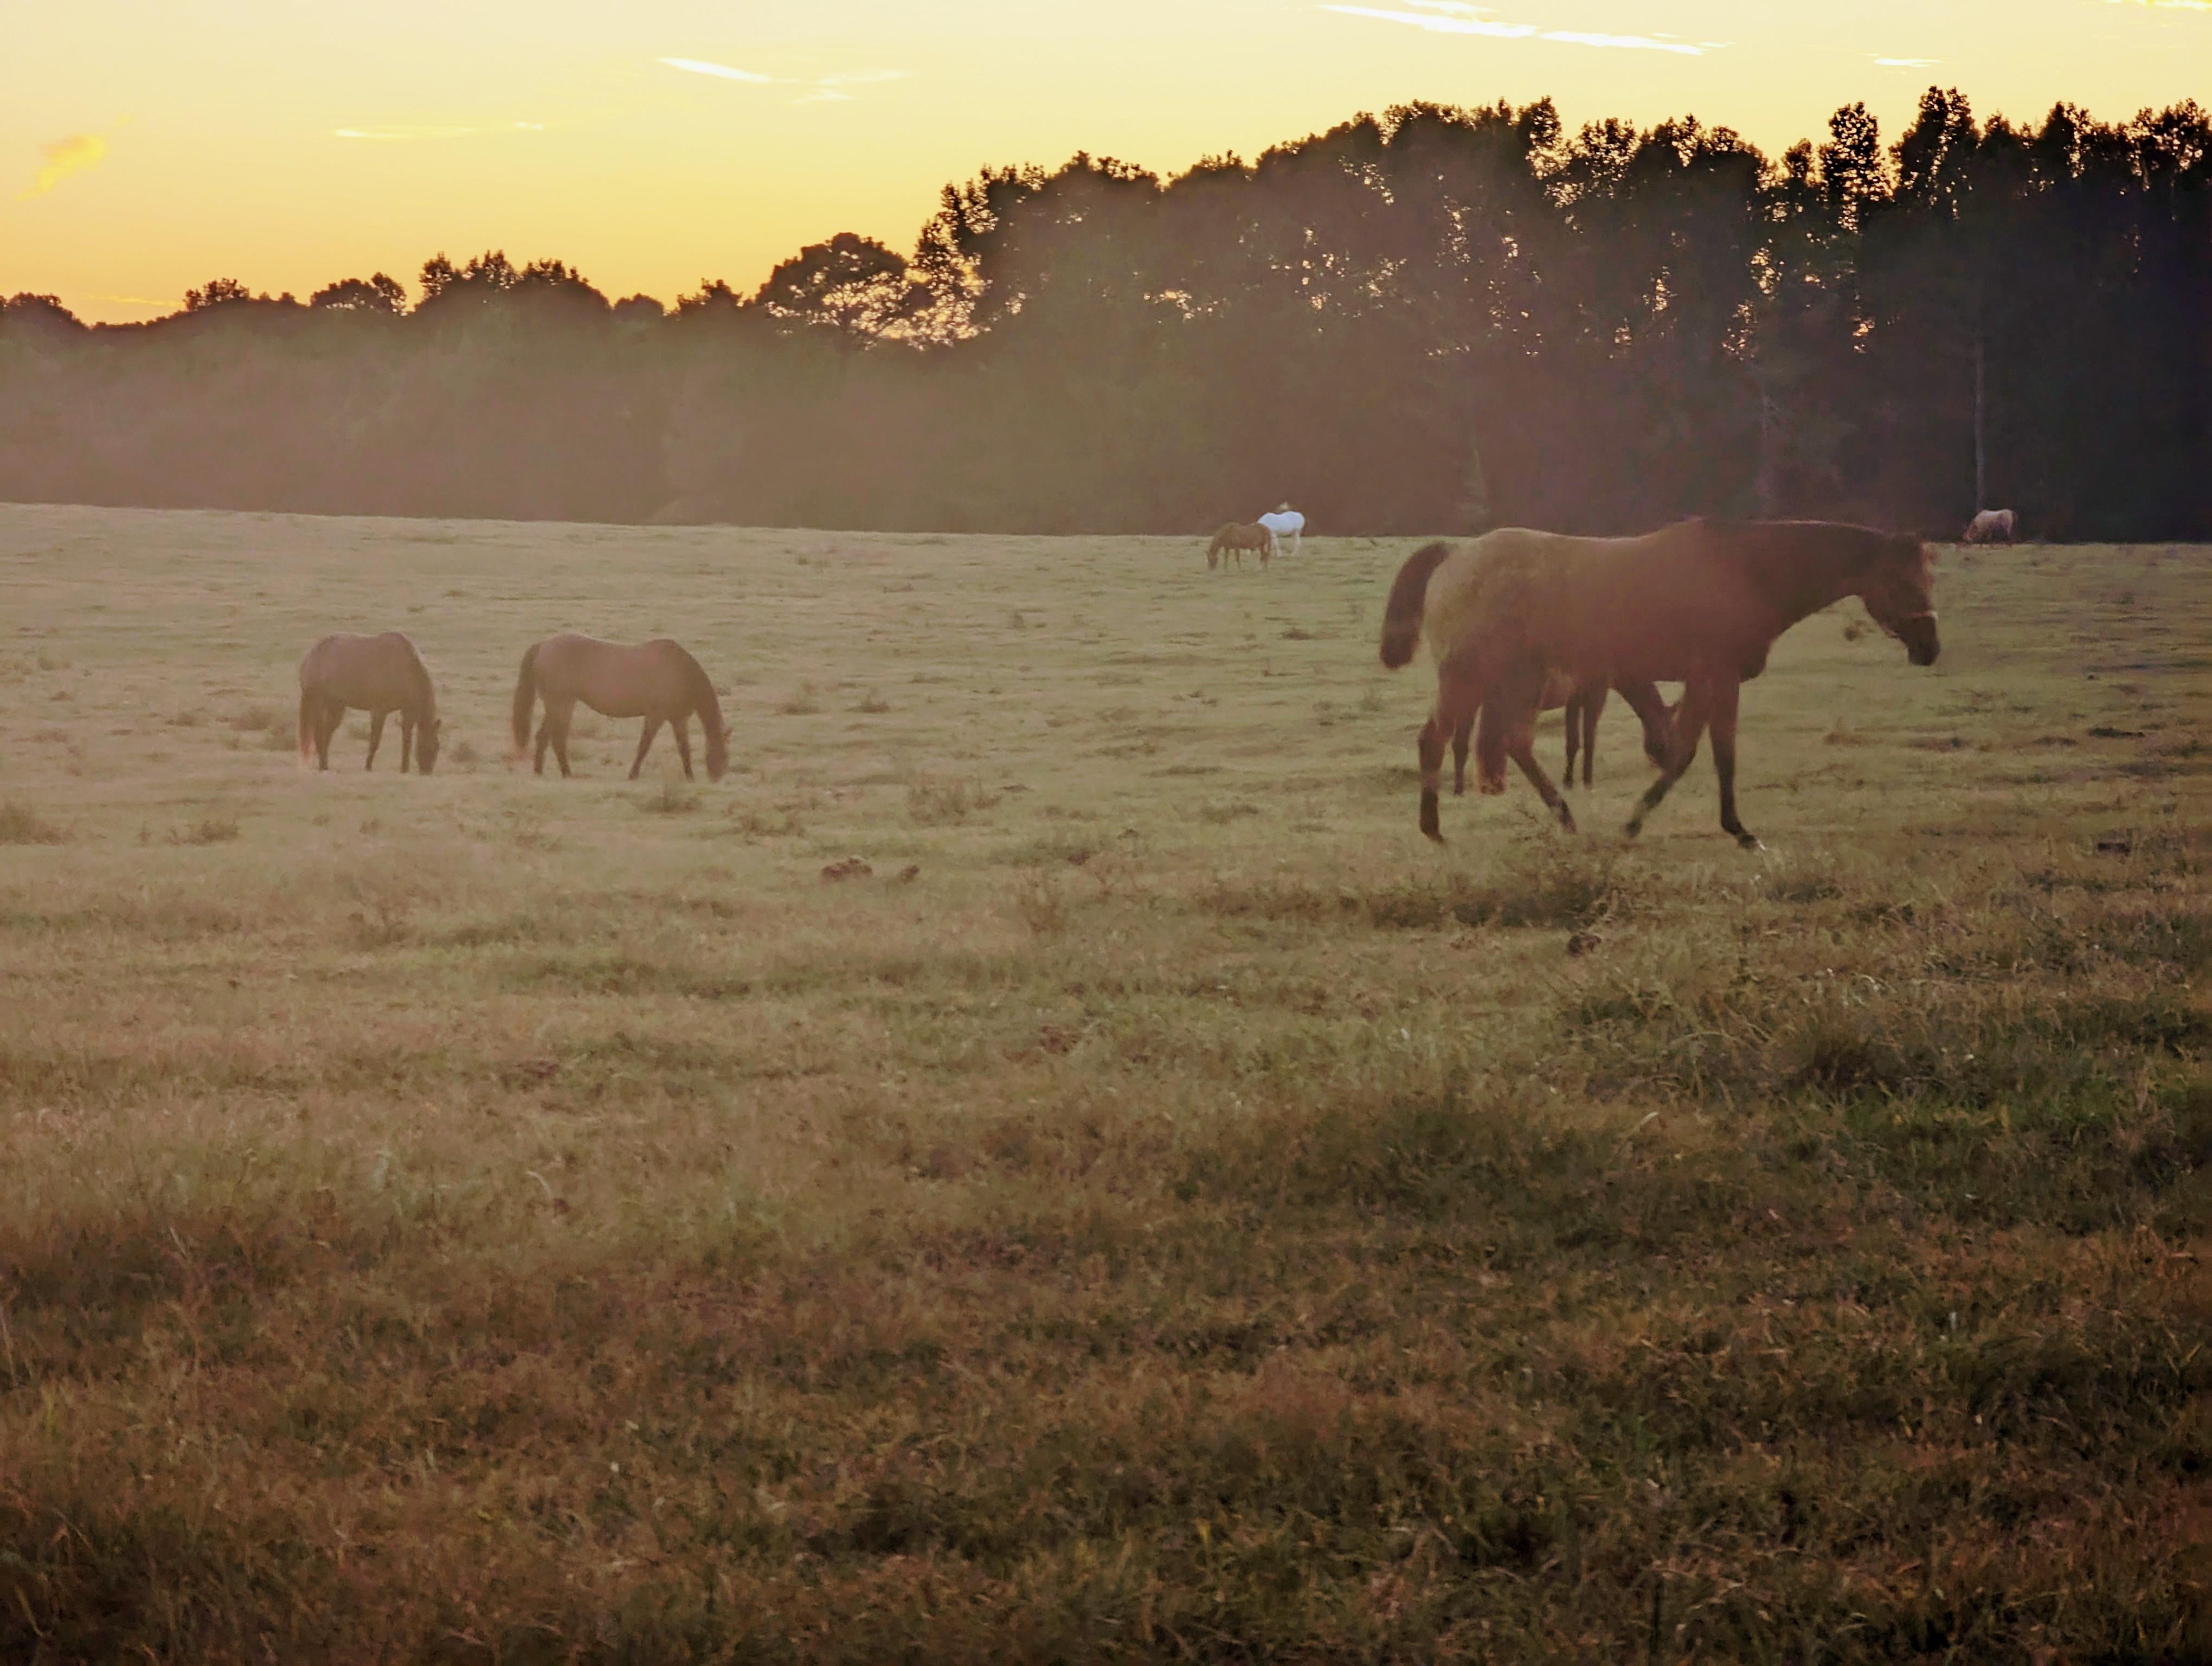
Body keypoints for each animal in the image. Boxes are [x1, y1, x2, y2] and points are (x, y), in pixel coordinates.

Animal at [298, 628, 445, 774]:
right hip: (318, 703)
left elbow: (406, 740)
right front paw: (368, 767)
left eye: (438, 746)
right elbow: (375, 741)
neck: (406, 669)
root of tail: (310, 656)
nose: (427, 772)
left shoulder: (408, 713)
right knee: (319, 734)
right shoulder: (379, 711)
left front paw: (404, 769)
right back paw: (322, 766)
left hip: (336, 707)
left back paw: (325, 765)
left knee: (326, 734)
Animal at [509, 632, 725, 783]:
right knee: (558, 739)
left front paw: (690, 776)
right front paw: (633, 774)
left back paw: (539, 771)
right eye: (722, 749)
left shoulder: (679, 719)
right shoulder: (655, 717)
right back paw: (567, 773)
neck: (680, 671)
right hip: (562, 705)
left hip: (556, 707)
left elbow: (684, 748)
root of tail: (543, 646)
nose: (718, 776)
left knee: (543, 737)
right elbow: (644, 745)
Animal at [1212, 522, 1283, 571]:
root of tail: (1268, 529)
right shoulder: (1227, 548)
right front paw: (1225, 569)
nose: (1211, 569)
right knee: (1264, 555)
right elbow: (1226, 558)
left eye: (1210, 558)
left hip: (1263, 545)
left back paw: (1263, 568)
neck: (1226, 533)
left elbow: (1237, 558)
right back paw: (1263, 567)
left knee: (1265, 555)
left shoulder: (1236, 547)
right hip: (1262, 545)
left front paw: (1239, 568)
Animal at [1380, 517, 1938, 845]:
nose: (1931, 647)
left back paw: (1564, 818)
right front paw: (1655, 824)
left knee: (1512, 743)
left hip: (1515, 681)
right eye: (1903, 581)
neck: (1745, 572)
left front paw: (1727, 826)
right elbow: (1700, 754)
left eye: (1929, 578)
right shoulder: (1717, 674)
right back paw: (1434, 830)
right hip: (1469, 678)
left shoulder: (1705, 679)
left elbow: (1699, 750)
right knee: (1436, 740)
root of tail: (1453, 557)